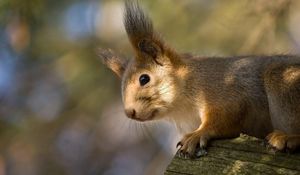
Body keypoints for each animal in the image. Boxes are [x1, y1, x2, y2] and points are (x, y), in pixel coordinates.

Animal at [99, 0, 300, 159]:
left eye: (144, 79)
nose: (129, 112)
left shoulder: (223, 91)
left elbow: (225, 117)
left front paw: (197, 135)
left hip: (284, 83)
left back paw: (288, 138)